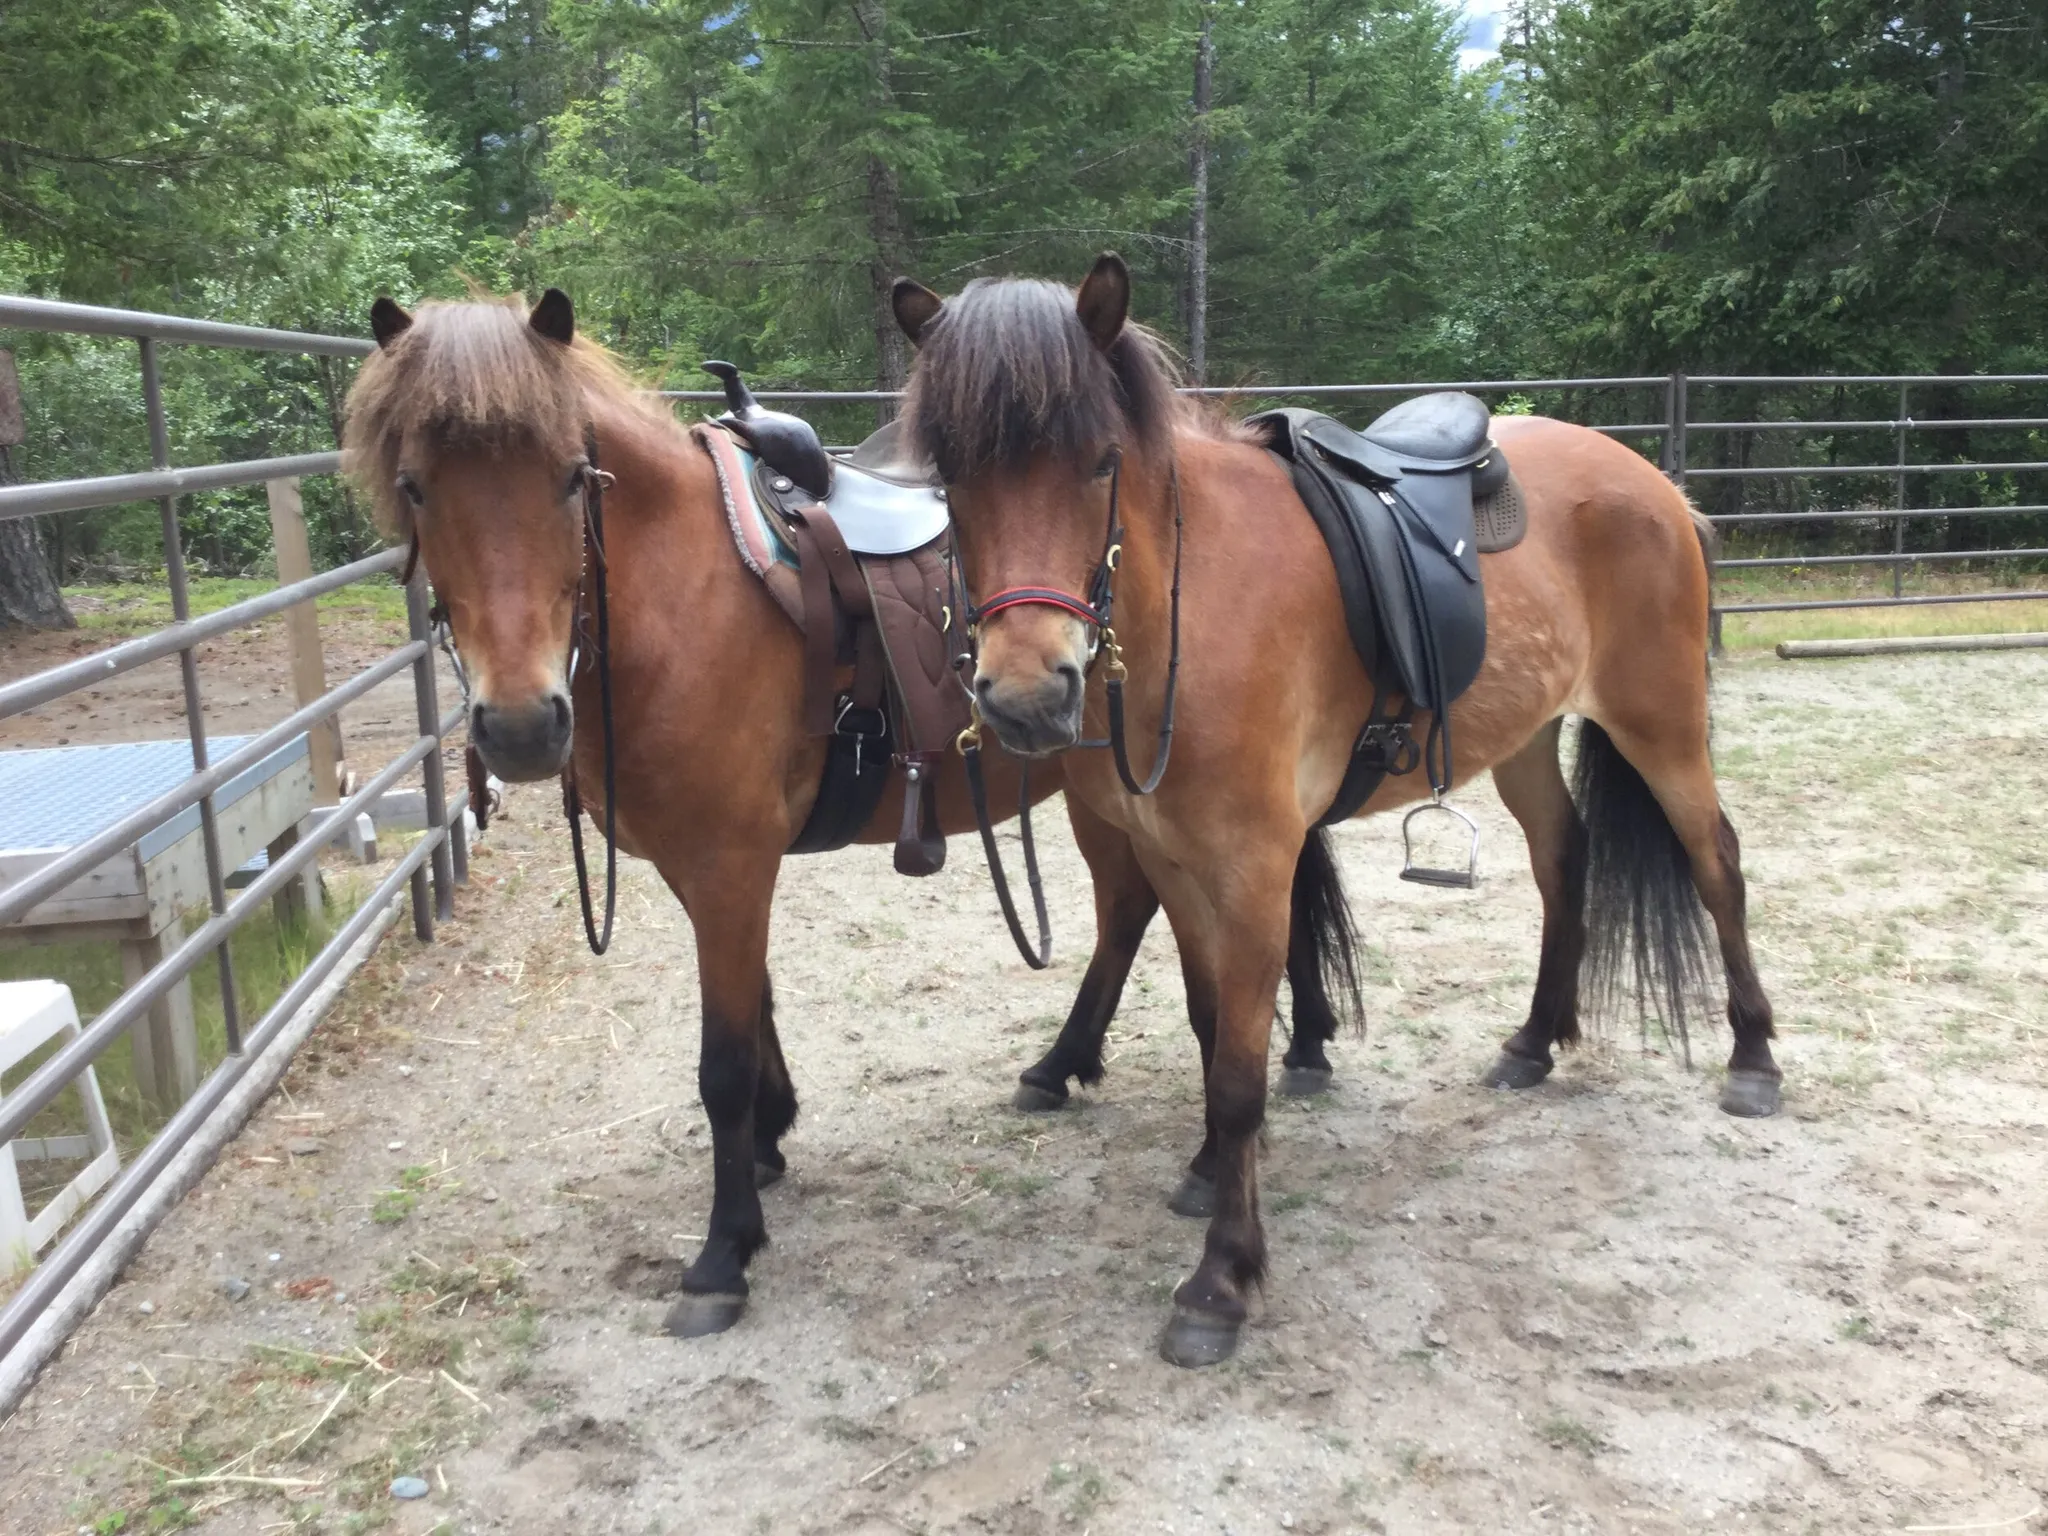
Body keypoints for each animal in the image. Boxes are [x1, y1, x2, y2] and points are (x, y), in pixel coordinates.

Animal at [340, 288, 1358, 1338]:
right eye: (415, 487)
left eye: (570, 482)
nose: (520, 725)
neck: (680, 595)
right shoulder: (709, 868)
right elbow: (756, 1010)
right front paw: (769, 1141)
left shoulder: (730, 862)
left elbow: (722, 1061)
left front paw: (724, 1251)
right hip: (1107, 795)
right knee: (1137, 910)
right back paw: (1082, 1063)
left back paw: (1274, 1051)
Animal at [889, 254, 1780, 1367]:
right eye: (950, 480)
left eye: (1098, 463)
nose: (1023, 697)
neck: (1188, 612)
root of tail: (1656, 484)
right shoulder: (1172, 861)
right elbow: (1207, 1024)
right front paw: (1205, 1171)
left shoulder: (1253, 866)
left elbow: (1237, 1067)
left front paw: (1220, 1279)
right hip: (1527, 739)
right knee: (1563, 862)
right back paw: (1533, 1043)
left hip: (1659, 725)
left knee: (1716, 863)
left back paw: (1752, 1058)